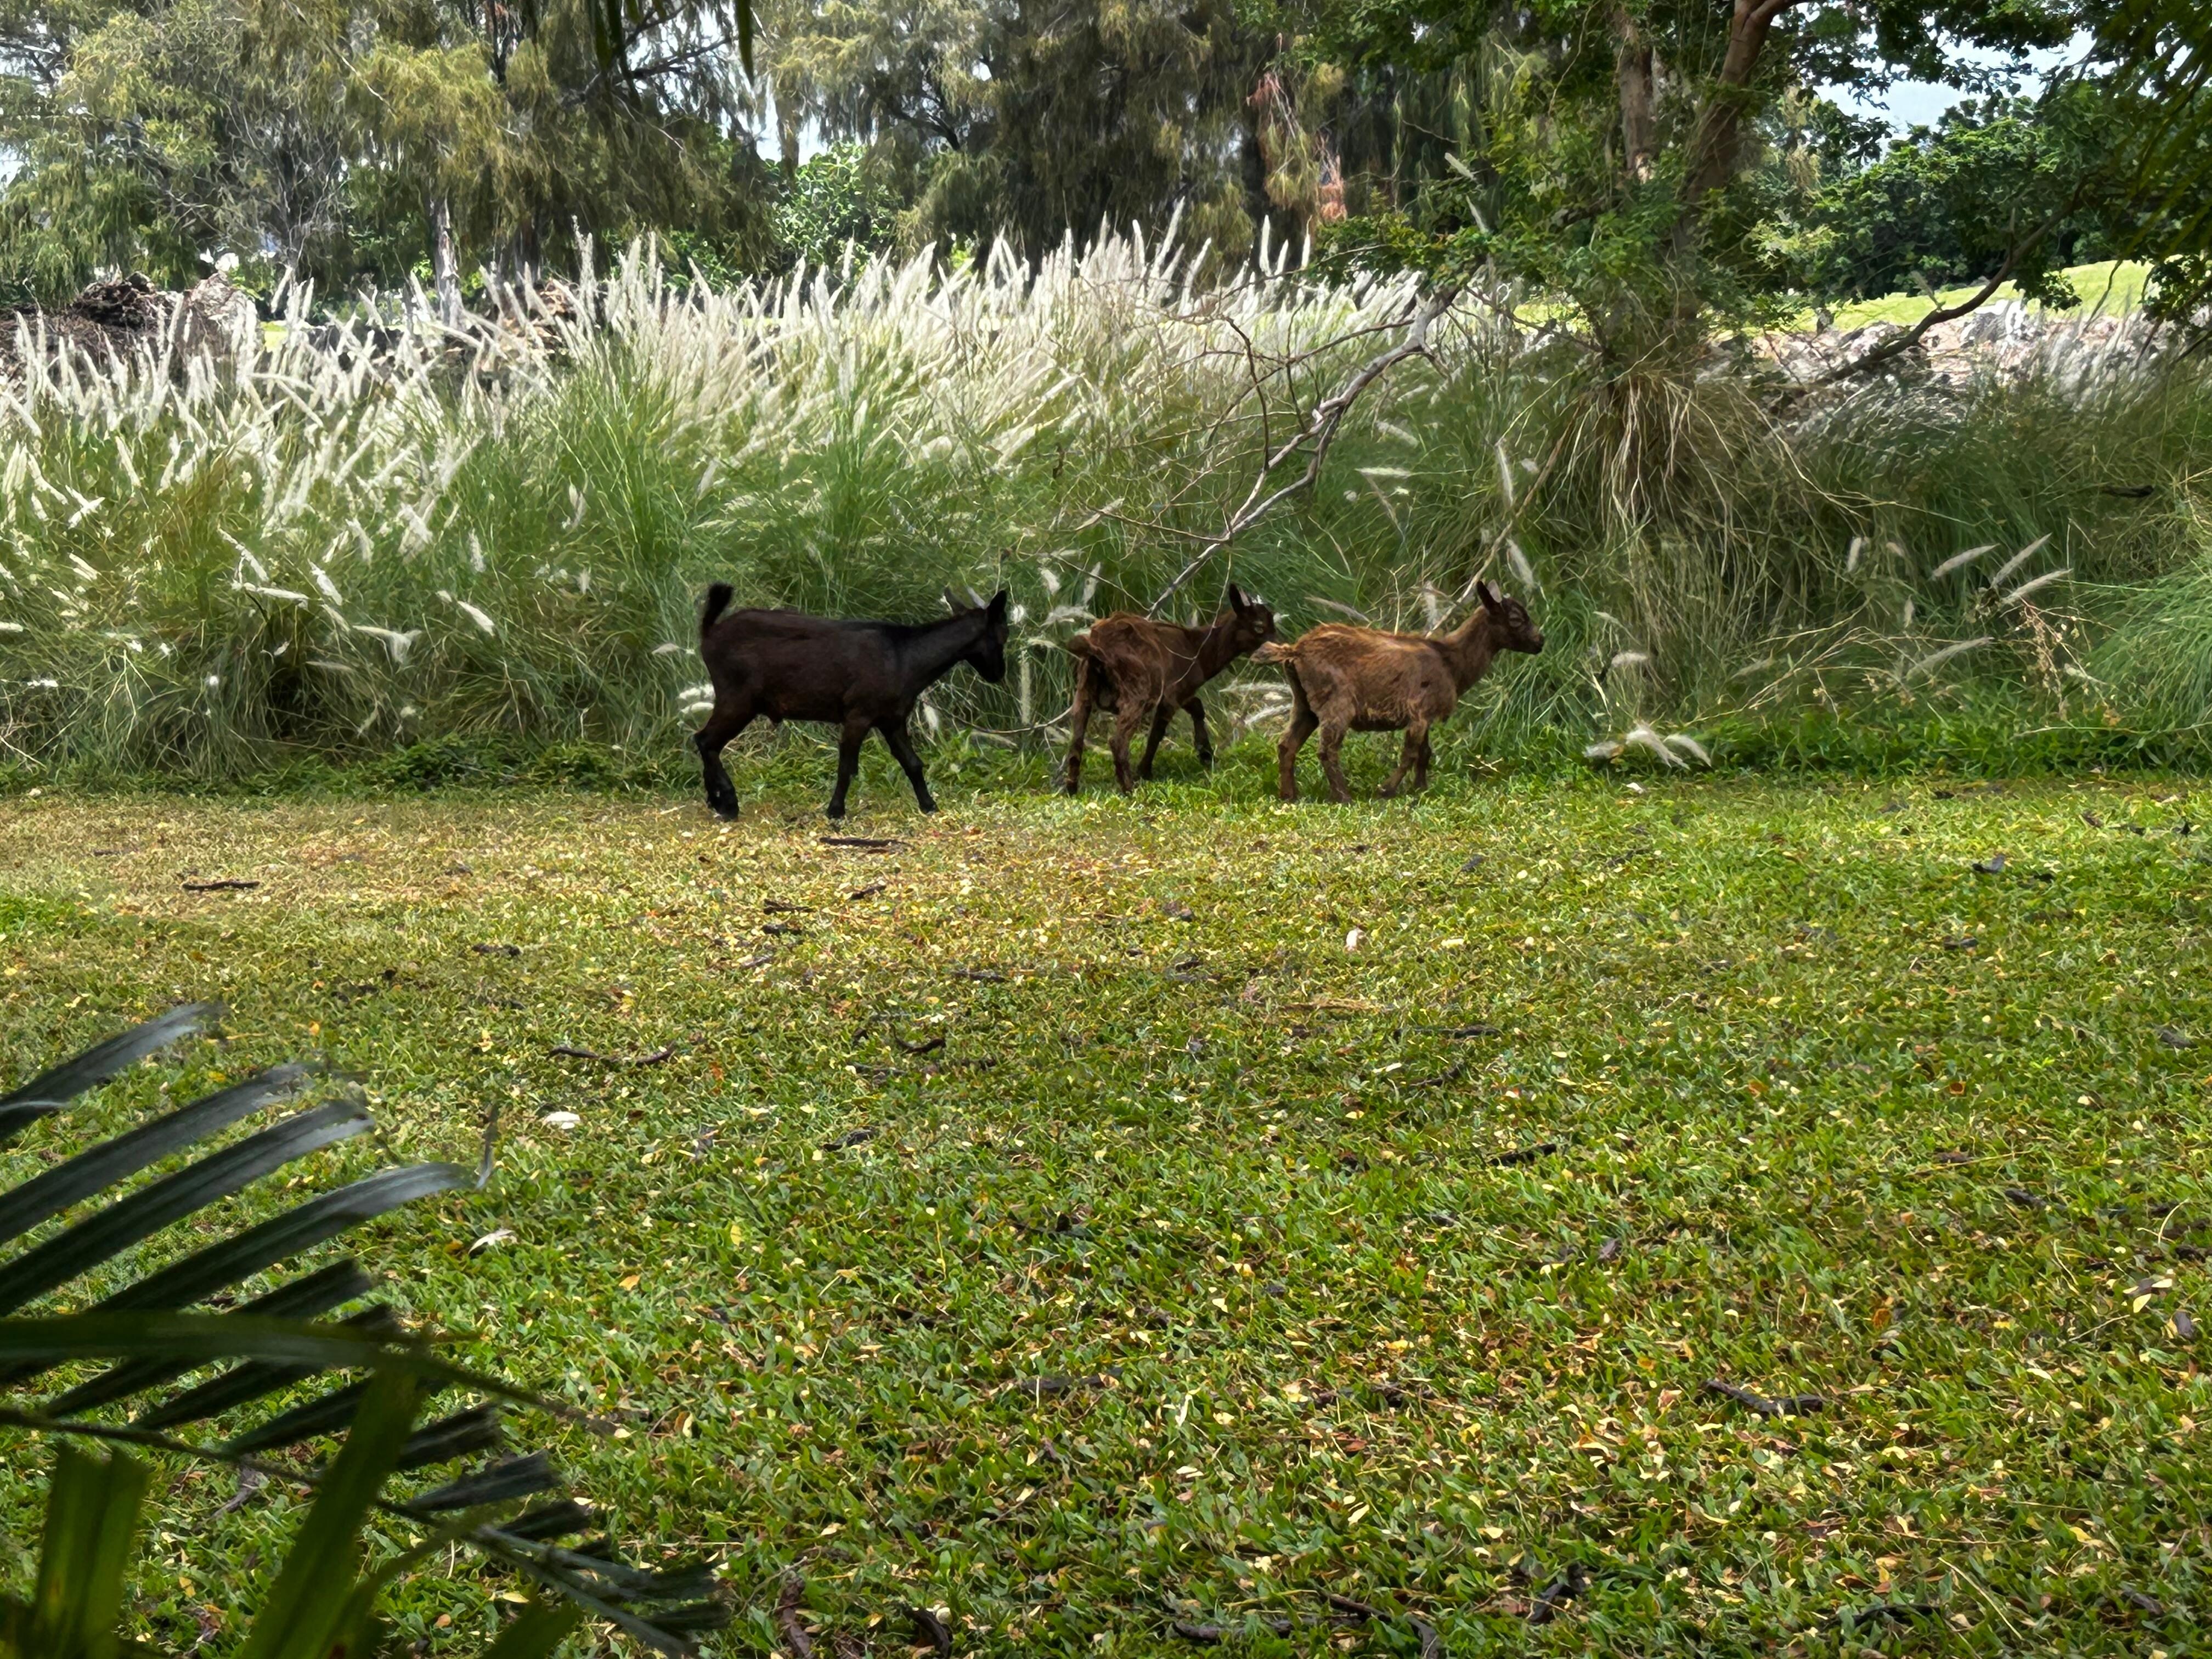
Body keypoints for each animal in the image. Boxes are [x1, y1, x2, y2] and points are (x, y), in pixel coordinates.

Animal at [691, 584, 1008, 819]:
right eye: (1003, 636)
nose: (998, 674)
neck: (905, 656)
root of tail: (710, 633)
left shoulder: (892, 719)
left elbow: (912, 763)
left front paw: (929, 805)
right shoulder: (859, 715)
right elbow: (847, 765)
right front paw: (835, 812)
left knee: (706, 742)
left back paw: (715, 800)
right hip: (739, 699)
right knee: (705, 740)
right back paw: (728, 803)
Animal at [1061, 585, 1277, 793]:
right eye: (1259, 627)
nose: (1276, 650)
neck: (1198, 651)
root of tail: (1097, 649)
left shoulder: (1181, 691)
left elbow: (1197, 707)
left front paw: (1206, 754)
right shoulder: (1172, 695)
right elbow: (1157, 733)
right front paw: (1145, 771)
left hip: (1084, 689)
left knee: (1077, 739)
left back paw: (1071, 788)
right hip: (1137, 694)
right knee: (1118, 741)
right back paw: (1130, 789)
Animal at [1254, 579, 1543, 802]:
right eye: (1516, 619)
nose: (1540, 642)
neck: (1451, 661)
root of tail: (1295, 651)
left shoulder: (1426, 716)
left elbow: (1425, 754)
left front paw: (1420, 788)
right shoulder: (1419, 712)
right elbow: (1410, 754)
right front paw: (1387, 790)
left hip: (1304, 703)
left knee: (1287, 744)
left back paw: (1290, 795)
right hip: (1337, 702)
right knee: (1327, 749)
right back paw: (1343, 797)